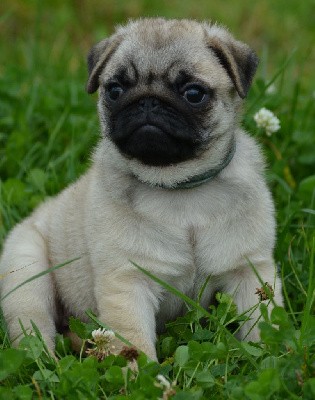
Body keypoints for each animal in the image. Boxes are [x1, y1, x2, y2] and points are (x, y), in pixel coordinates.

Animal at [0, 18, 284, 360]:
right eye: (115, 90)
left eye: (193, 93)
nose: (148, 101)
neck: (180, 189)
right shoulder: (128, 281)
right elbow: (132, 344)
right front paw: (139, 371)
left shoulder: (250, 270)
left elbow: (263, 324)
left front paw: (274, 357)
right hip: (26, 269)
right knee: (33, 330)